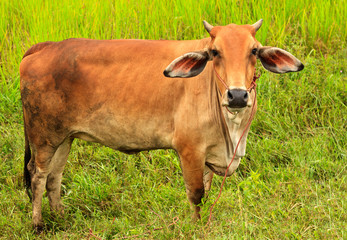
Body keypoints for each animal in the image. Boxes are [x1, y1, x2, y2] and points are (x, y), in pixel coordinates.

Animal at [21, 19, 304, 231]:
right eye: (215, 52)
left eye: (254, 51)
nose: (237, 95)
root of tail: (45, 47)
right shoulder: (189, 150)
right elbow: (197, 194)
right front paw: (196, 227)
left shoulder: (209, 153)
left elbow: (207, 190)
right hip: (43, 137)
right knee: (37, 174)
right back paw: (38, 225)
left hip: (63, 138)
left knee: (54, 176)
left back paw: (60, 216)